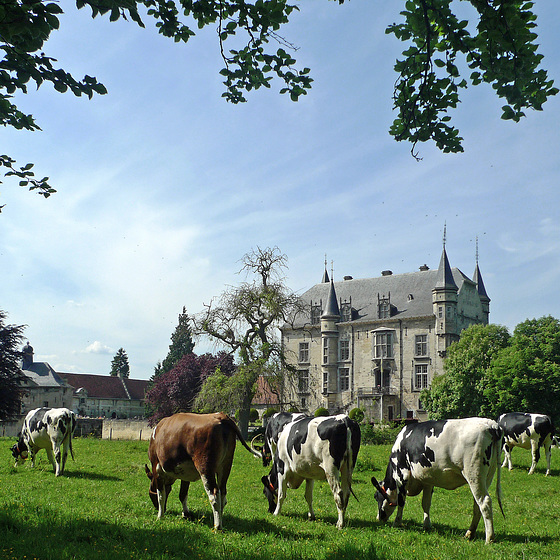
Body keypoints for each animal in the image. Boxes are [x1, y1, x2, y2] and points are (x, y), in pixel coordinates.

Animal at [372, 416, 504, 544]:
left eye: (376, 497)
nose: (378, 519)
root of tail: (491, 425)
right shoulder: (427, 480)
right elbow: (426, 503)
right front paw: (426, 525)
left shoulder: (402, 475)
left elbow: (401, 501)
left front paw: (397, 522)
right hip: (488, 476)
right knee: (477, 504)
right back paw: (470, 533)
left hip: (474, 474)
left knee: (484, 502)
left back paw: (489, 538)